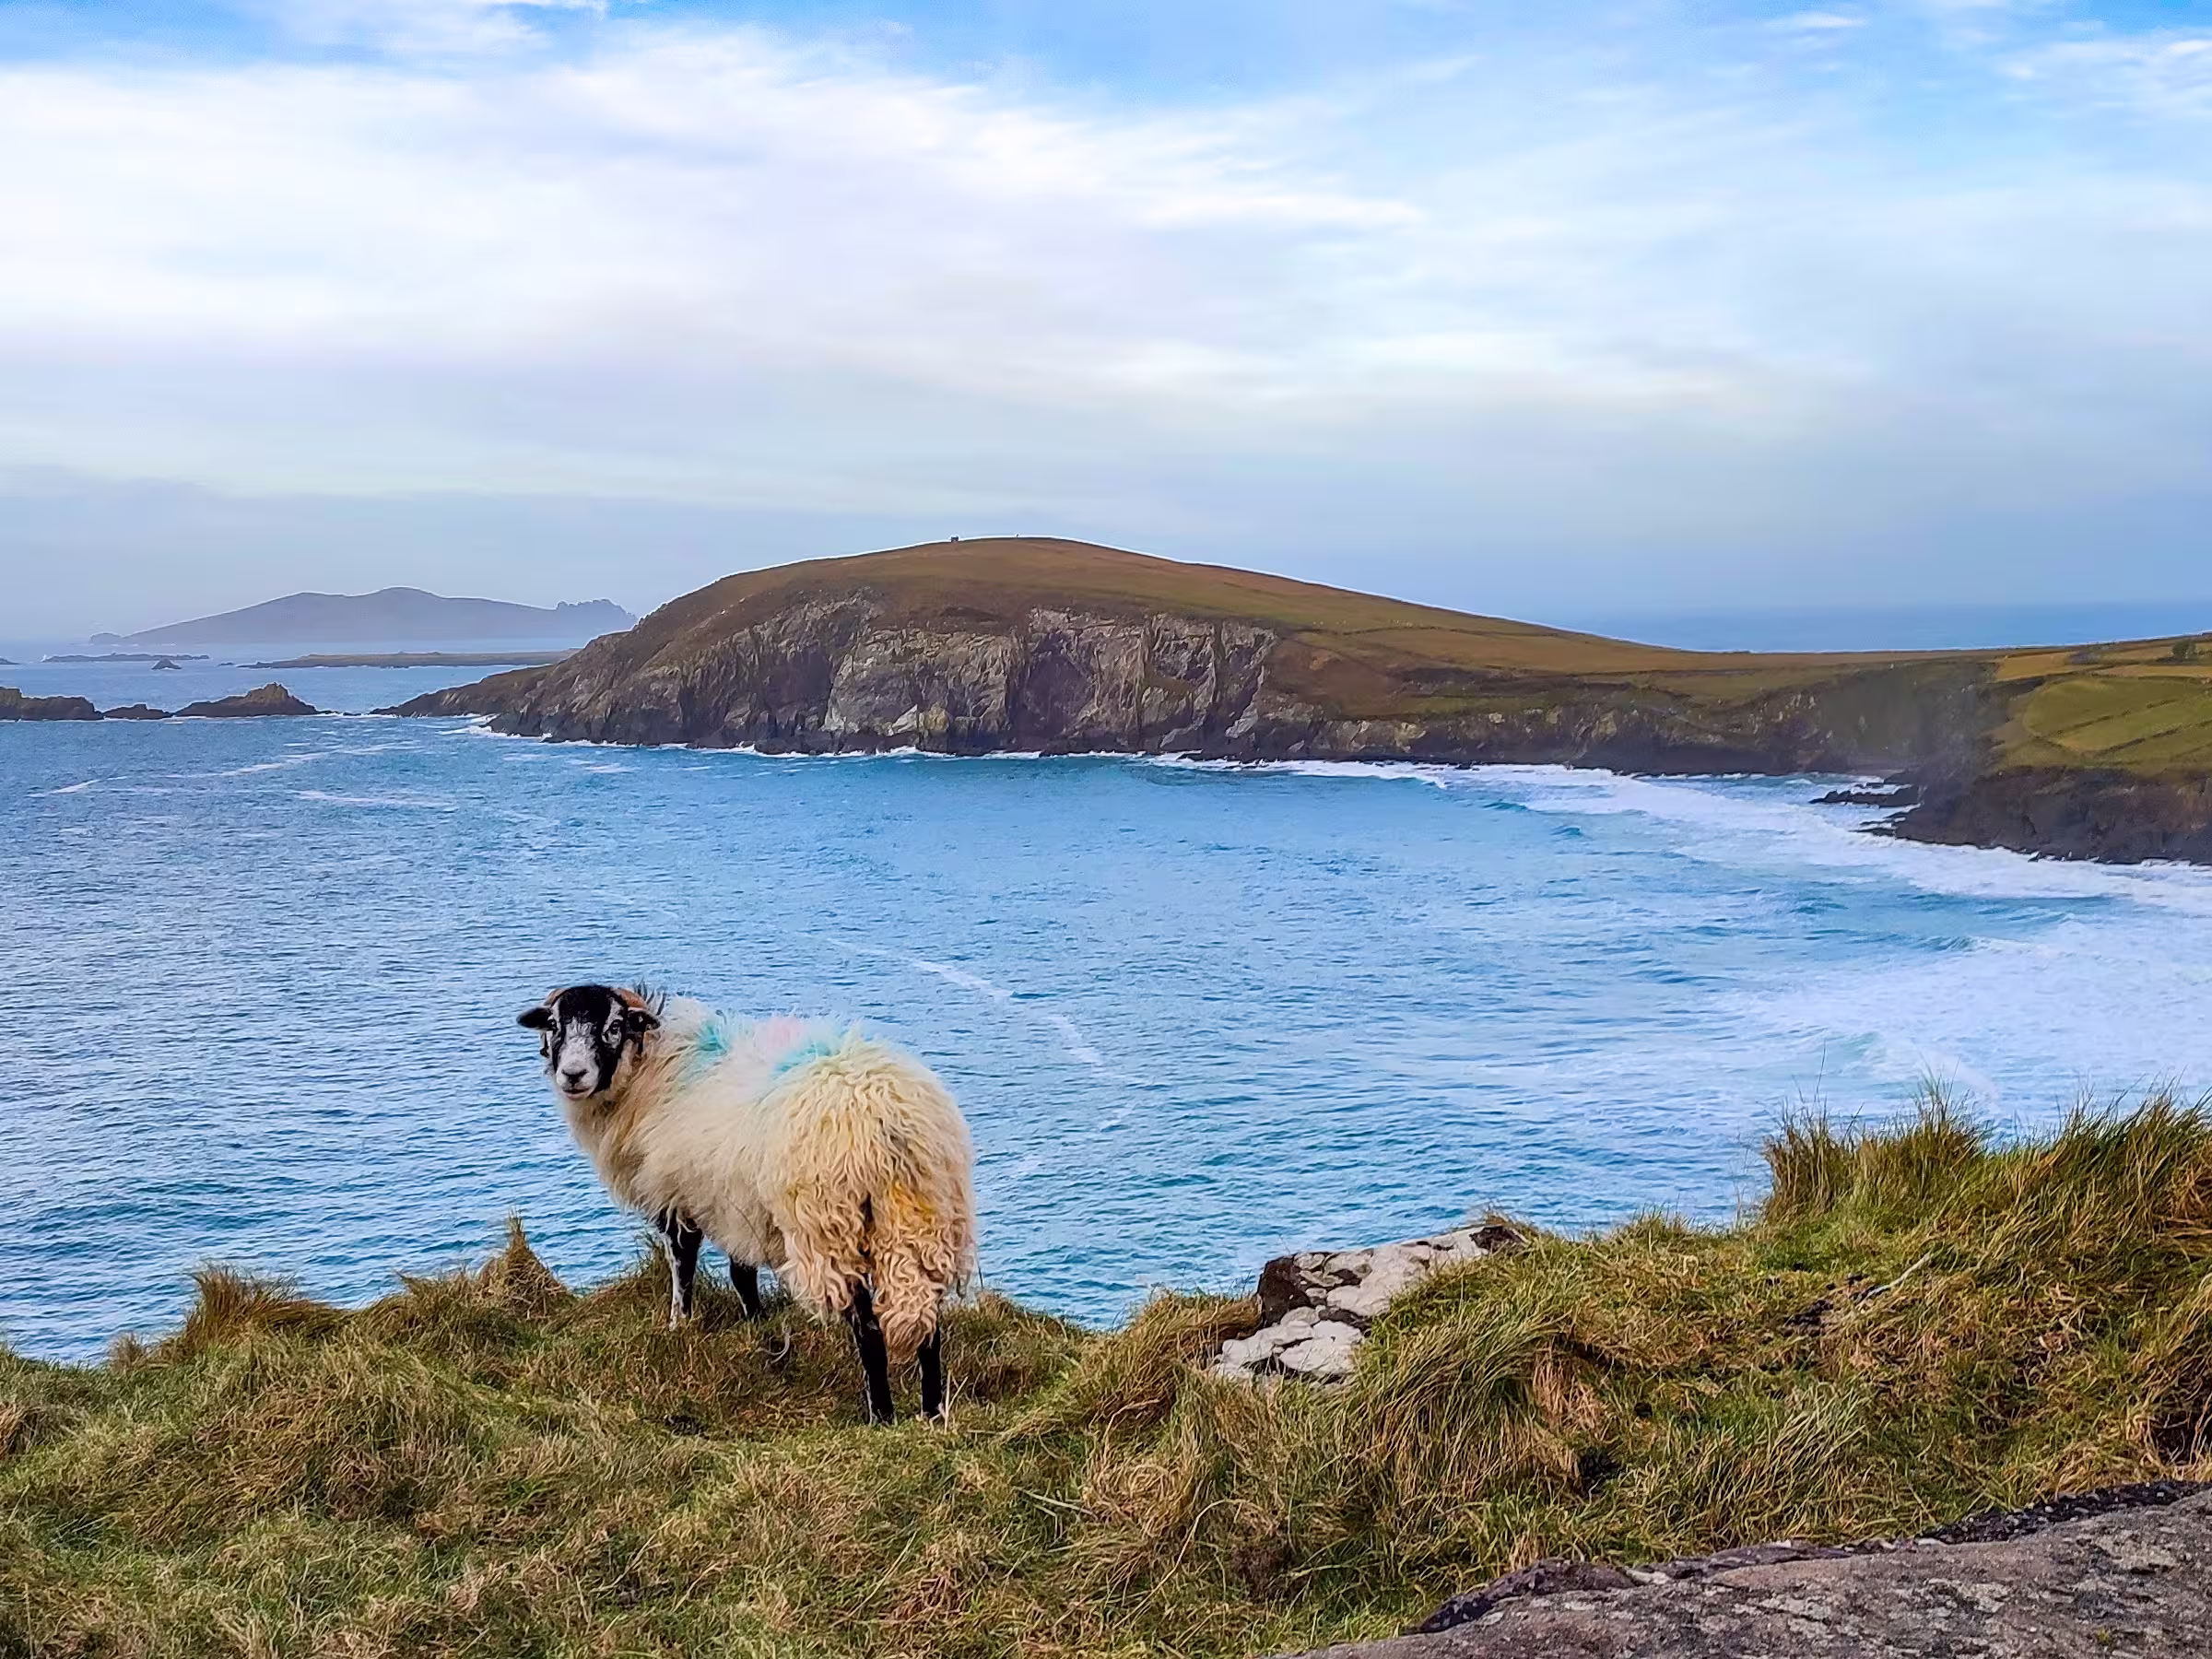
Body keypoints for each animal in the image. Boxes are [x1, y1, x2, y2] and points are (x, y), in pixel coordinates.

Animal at [518, 983, 978, 1424]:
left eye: (613, 1026)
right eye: (554, 1025)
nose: (573, 1075)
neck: (654, 1073)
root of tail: (886, 1120)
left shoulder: (679, 1197)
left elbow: (683, 1263)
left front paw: (679, 1324)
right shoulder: (738, 1205)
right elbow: (742, 1274)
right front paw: (757, 1325)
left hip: (829, 1228)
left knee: (867, 1326)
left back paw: (880, 1415)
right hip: (925, 1220)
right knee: (928, 1321)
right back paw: (931, 1410)